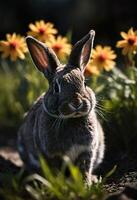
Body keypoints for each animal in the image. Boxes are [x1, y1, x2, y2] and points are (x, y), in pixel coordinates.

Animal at [17, 30, 105, 185]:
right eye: (56, 87)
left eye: (85, 84)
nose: (76, 102)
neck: (71, 119)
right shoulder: (52, 156)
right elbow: (56, 172)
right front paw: (60, 184)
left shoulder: (86, 151)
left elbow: (84, 169)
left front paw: (86, 184)